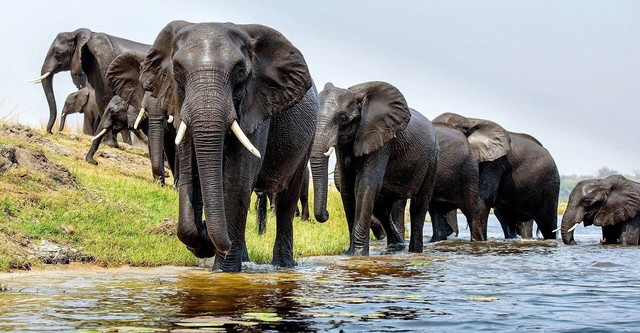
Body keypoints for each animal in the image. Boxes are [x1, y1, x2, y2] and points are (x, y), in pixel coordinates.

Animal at [140, 20, 320, 270]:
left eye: (240, 72)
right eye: (177, 70)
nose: (207, 231)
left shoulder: (256, 105)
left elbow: (236, 184)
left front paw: (222, 270)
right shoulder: (180, 102)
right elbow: (189, 177)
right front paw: (204, 242)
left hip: (308, 137)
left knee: (287, 199)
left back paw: (283, 266)